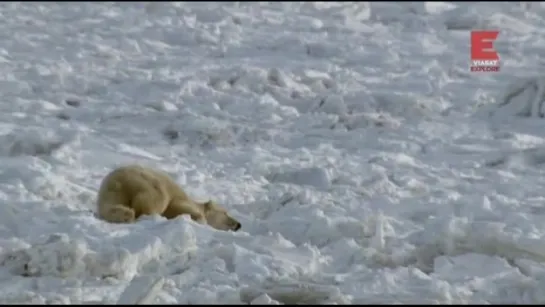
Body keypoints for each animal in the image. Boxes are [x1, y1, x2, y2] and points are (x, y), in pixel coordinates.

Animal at [95, 165, 240, 232]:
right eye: (225, 213)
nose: (239, 224)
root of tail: (116, 181)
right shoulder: (181, 200)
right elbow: (180, 207)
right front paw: (199, 220)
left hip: (111, 193)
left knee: (111, 205)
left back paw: (126, 214)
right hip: (146, 183)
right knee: (155, 200)